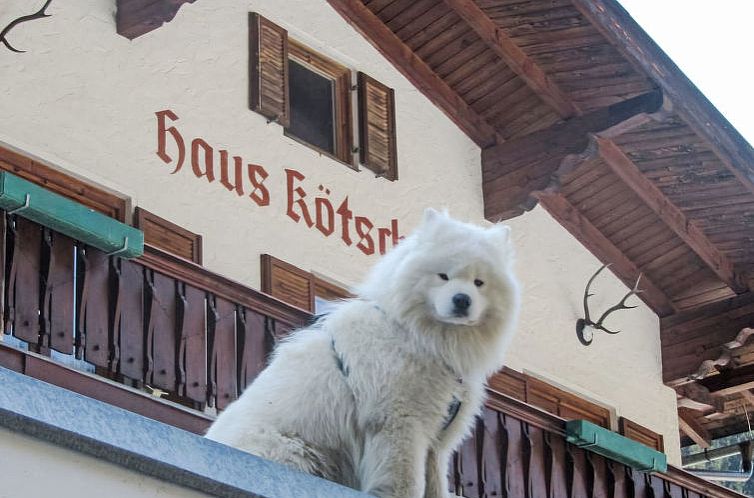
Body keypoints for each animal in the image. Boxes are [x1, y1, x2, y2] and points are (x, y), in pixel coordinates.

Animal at [209, 208, 520, 496]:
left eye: (479, 282)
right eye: (443, 276)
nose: (462, 300)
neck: (421, 338)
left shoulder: (437, 436)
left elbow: (434, 483)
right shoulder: (399, 421)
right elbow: (407, 480)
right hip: (295, 449)